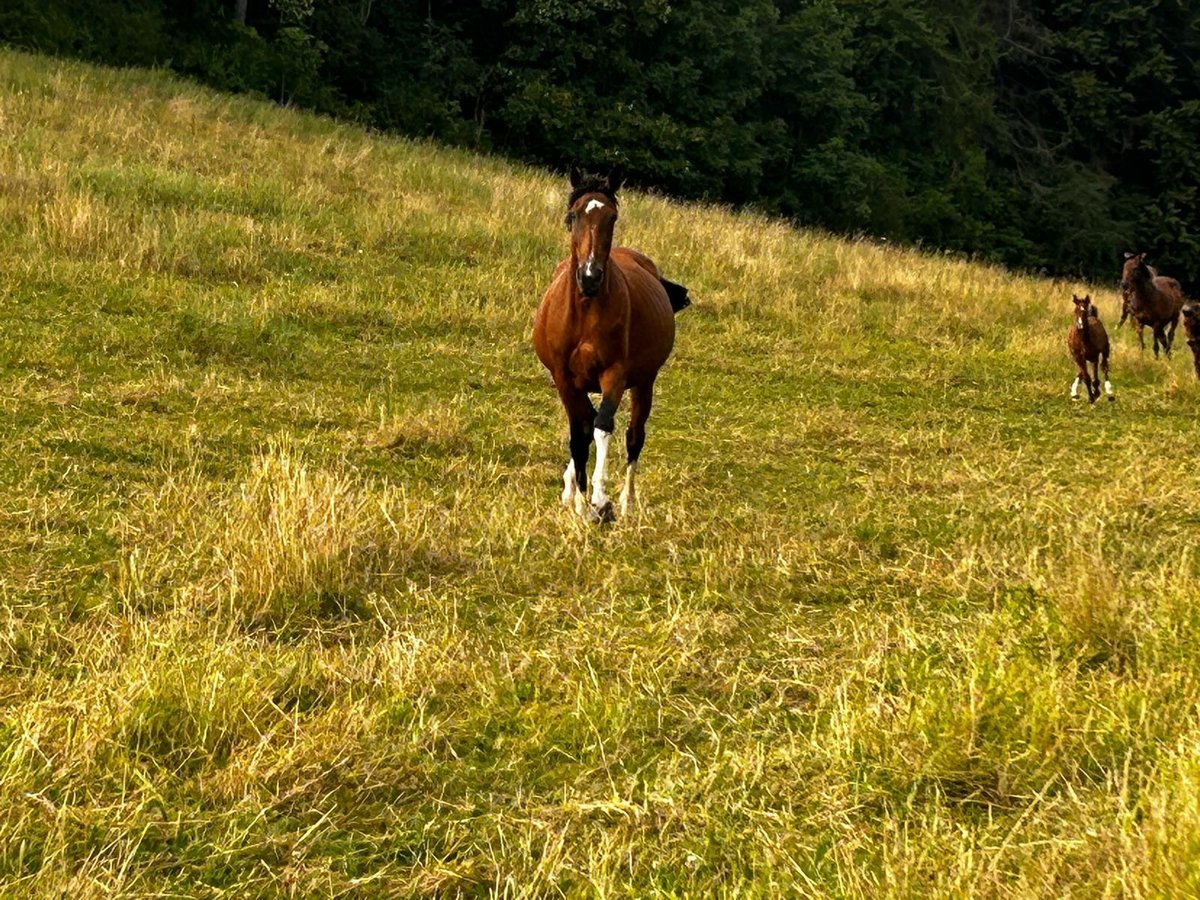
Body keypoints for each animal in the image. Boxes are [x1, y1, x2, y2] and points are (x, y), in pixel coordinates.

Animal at [532, 166, 690, 522]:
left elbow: (602, 427)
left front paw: (600, 500)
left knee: (634, 436)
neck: (586, 311)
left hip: (644, 383)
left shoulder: (614, 375)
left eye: (612, 217)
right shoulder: (564, 379)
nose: (590, 276)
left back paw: (627, 502)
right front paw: (579, 499)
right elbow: (579, 434)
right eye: (572, 216)